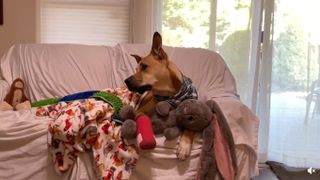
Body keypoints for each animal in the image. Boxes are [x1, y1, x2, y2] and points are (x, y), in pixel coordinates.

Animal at [125, 31, 198, 160]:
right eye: (136, 69)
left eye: (144, 67)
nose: (126, 81)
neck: (171, 95)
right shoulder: (141, 111)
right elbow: (142, 117)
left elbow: (190, 127)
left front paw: (184, 146)